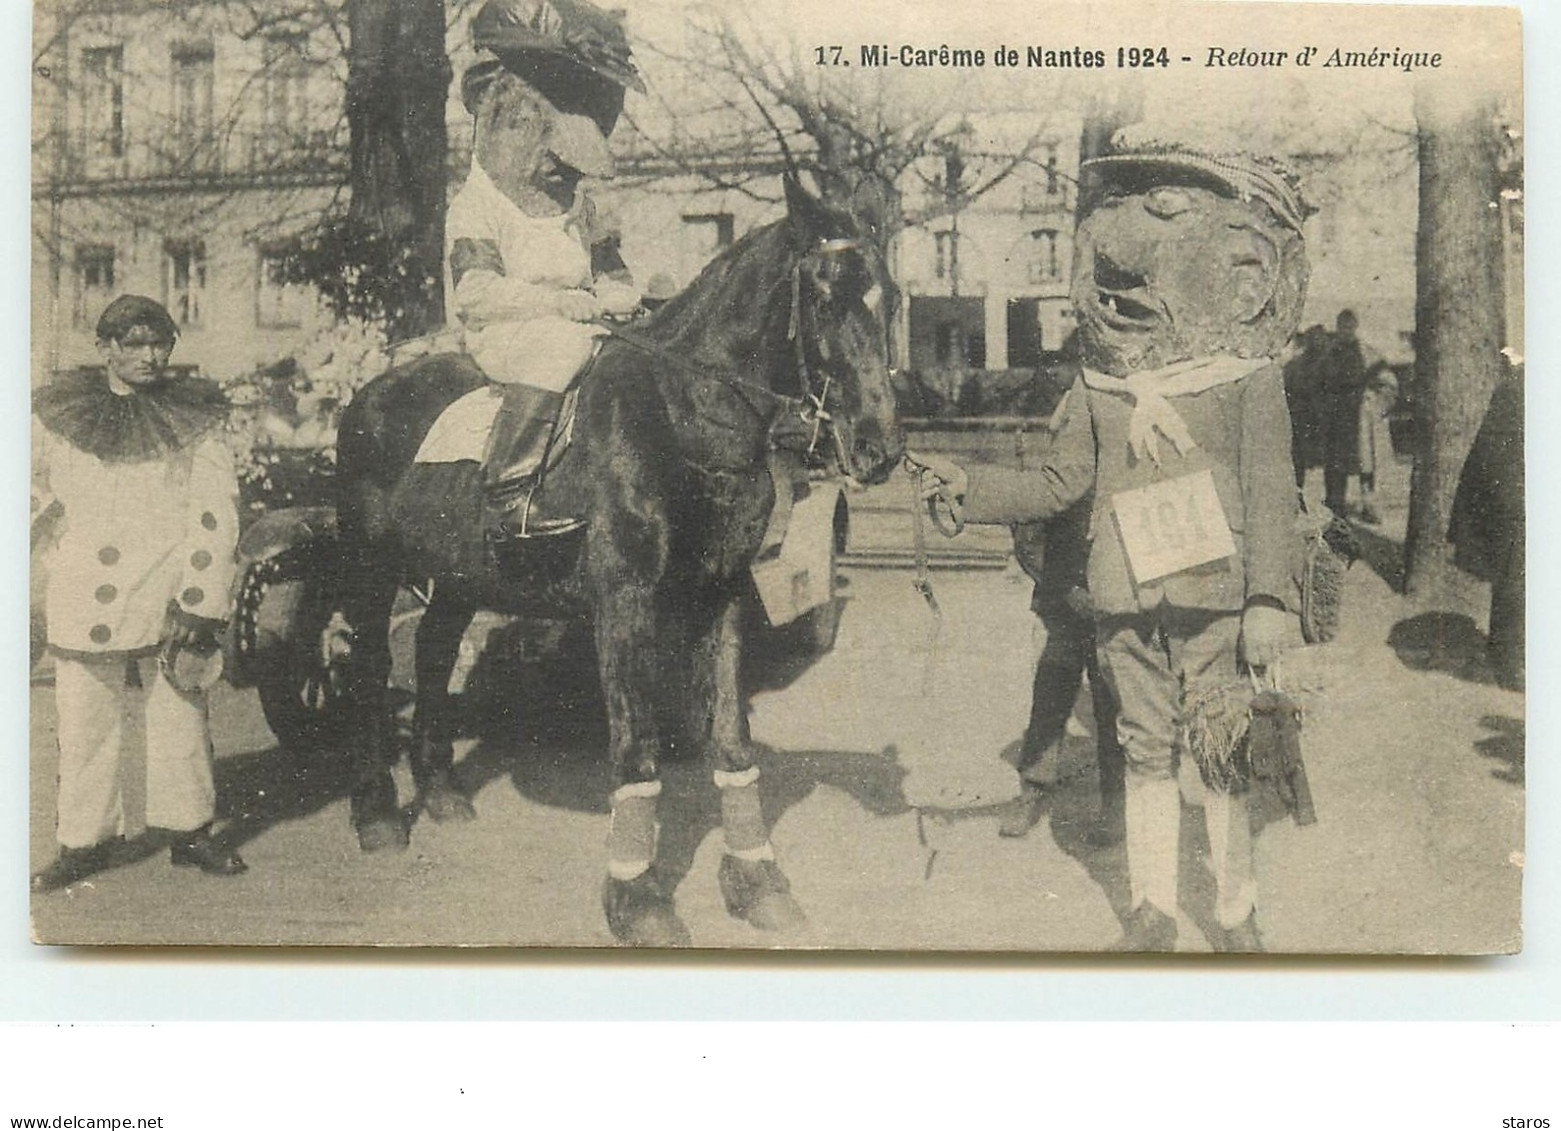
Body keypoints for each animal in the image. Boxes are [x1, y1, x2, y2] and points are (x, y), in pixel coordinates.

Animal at [338, 178, 905, 942]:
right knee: (370, 668)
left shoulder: (723, 593)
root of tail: (366, 396)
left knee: (431, 651)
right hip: (370, 569)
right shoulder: (625, 602)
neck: (681, 416)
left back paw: (442, 792)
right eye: (823, 297)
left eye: (890, 296)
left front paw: (757, 881)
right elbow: (636, 752)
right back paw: (374, 812)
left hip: (459, 572)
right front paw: (637, 899)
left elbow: (732, 742)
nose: (879, 447)